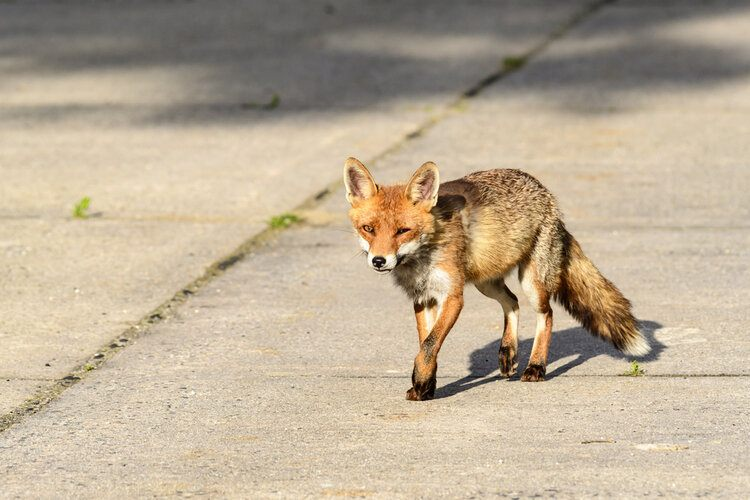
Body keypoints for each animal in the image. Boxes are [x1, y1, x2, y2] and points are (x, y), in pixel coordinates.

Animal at [344, 158, 648, 400]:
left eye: (402, 230)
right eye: (368, 229)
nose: (379, 261)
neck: (423, 257)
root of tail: (545, 192)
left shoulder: (453, 296)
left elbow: (429, 345)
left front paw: (421, 382)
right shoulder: (423, 298)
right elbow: (426, 345)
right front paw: (426, 384)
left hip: (531, 282)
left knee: (546, 314)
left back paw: (536, 366)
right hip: (486, 281)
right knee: (512, 303)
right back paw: (508, 351)